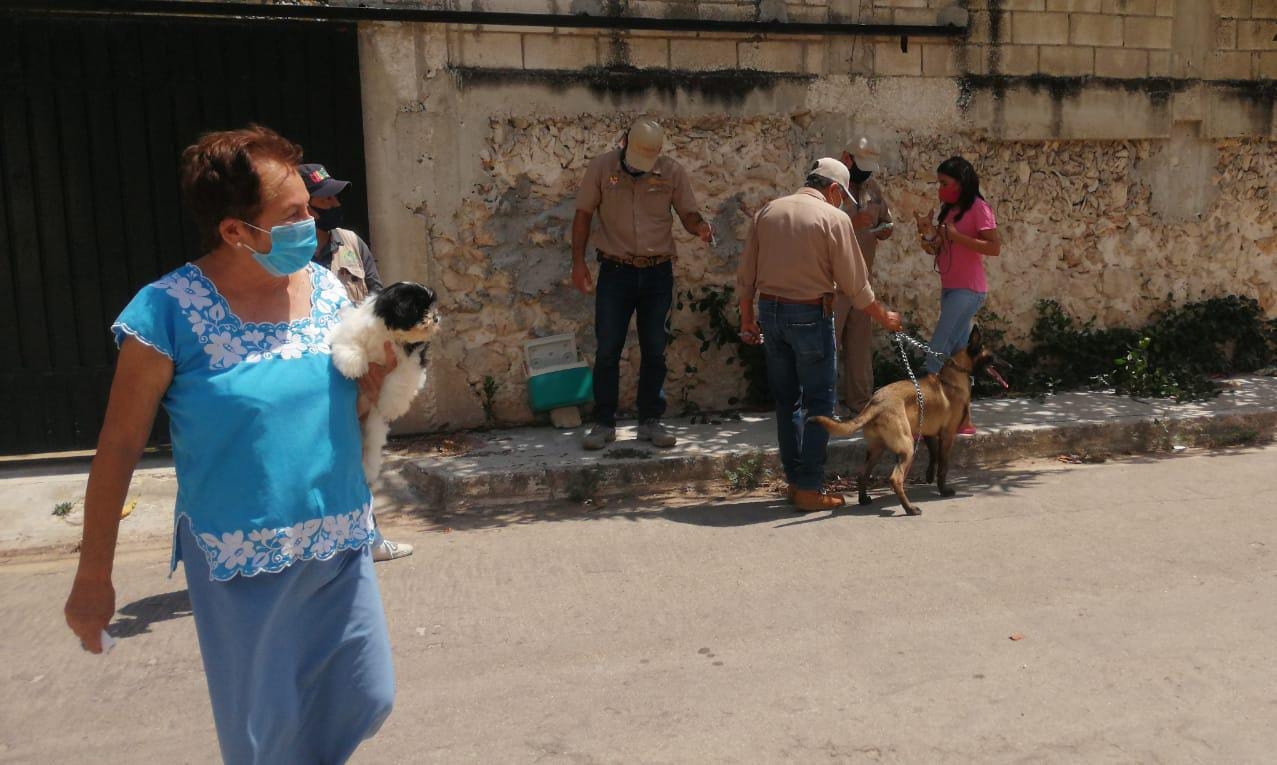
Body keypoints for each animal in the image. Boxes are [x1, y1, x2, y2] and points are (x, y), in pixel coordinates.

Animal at [329, 280, 439, 485]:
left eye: (431, 307)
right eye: (419, 308)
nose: (435, 318)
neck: (391, 334)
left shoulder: (411, 361)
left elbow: (399, 380)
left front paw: (391, 406)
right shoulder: (353, 328)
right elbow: (351, 340)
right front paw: (352, 363)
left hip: (373, 423)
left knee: (371, 445)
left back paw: (368, 470)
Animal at [807, 325, 1006, 518]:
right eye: (993, 357)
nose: (1010, 365)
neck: (952, 379)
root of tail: (876, 402)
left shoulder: (928, 433)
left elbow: (934, 456)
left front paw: (929, 476)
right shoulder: (947, 435)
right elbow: (943, 465)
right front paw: (943, 490)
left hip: (877, 449)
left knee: (863, 473)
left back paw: (864, 499)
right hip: (907, 447)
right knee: (895, 479)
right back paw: (909, 509)